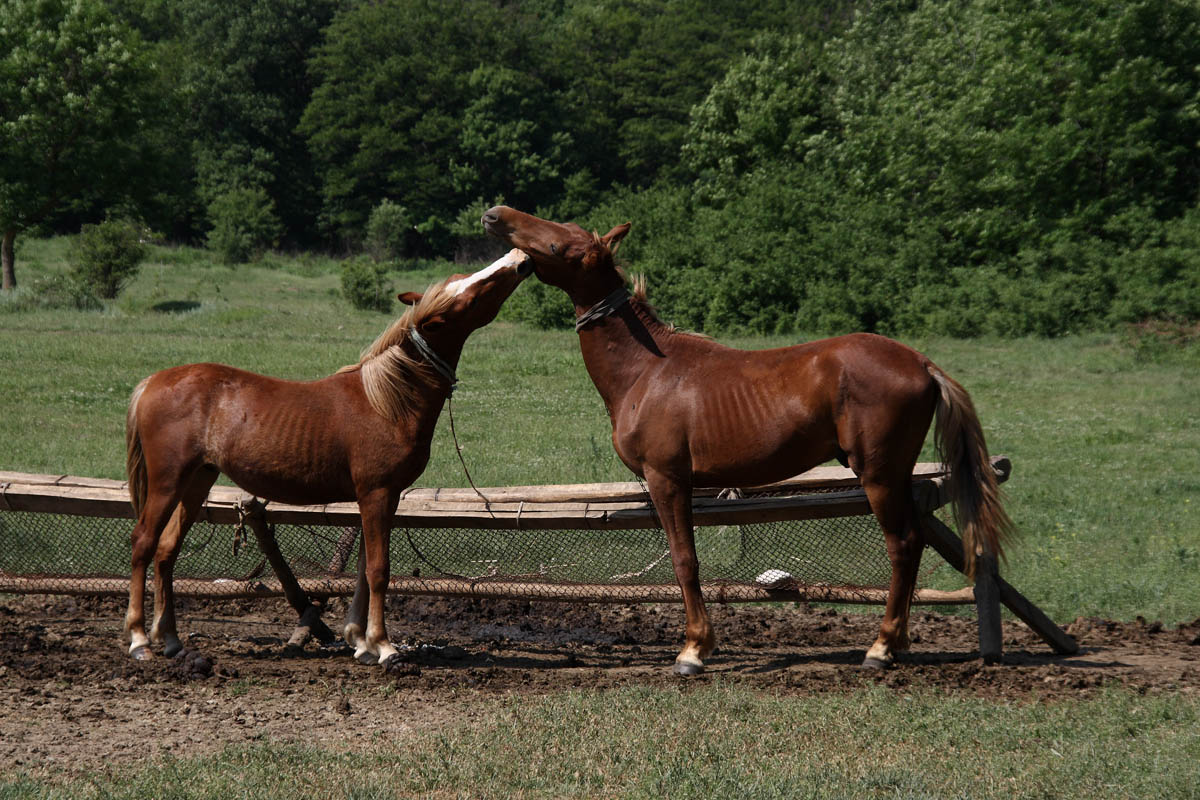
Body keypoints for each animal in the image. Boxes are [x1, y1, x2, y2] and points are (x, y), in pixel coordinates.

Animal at [124, 248, 532, 662]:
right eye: (470, 298)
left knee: (166, 551)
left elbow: (364, 571)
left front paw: (361, 641)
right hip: (167, 483)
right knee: (143, 543)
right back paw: (140, 639)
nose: (518, 257)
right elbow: (379, 570)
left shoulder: (384, 498)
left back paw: (171, 639)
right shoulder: (377, 493)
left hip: (197, 481)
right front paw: (384, 646)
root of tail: (152, 382)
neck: (387, 401)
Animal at [482, 208, 1008, 676]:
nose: (495, 213)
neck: (646, 370)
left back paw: (881, 648)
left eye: (557, 244)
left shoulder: (667, 480)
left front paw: (694, 650)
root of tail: (922, 363)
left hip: (880, 477)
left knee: (903, 545)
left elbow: (685, 561)